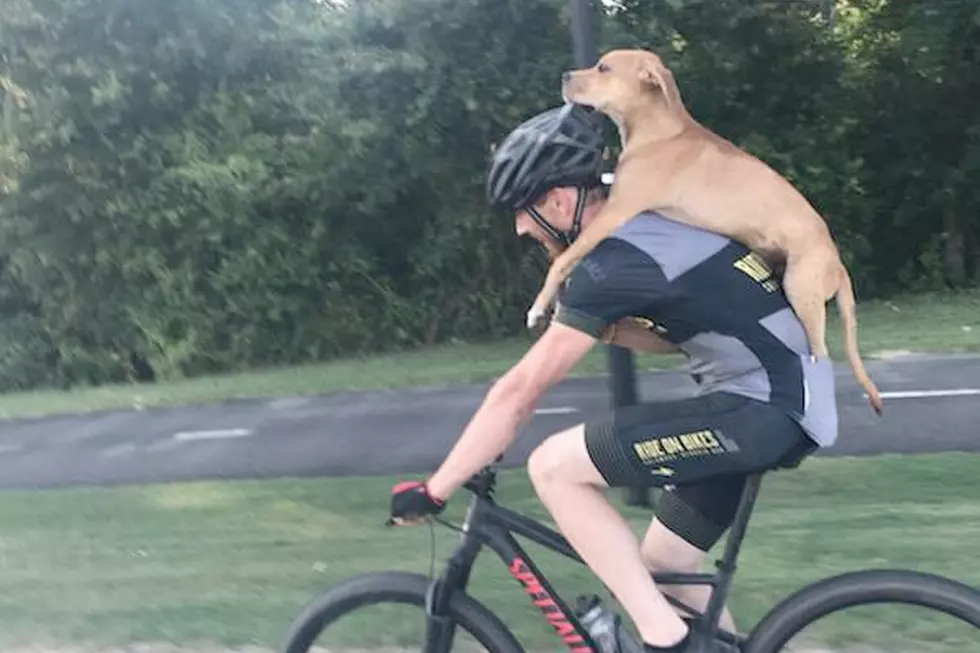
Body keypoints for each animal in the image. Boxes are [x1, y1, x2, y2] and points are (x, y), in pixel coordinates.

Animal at [532, 47, 884, 412]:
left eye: (603, 68)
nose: (565, 77)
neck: (657, 133)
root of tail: (838, 266)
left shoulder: (616, 212)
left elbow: (563, 259)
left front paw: (539, 306)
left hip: (802, 292)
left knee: (820, 354)